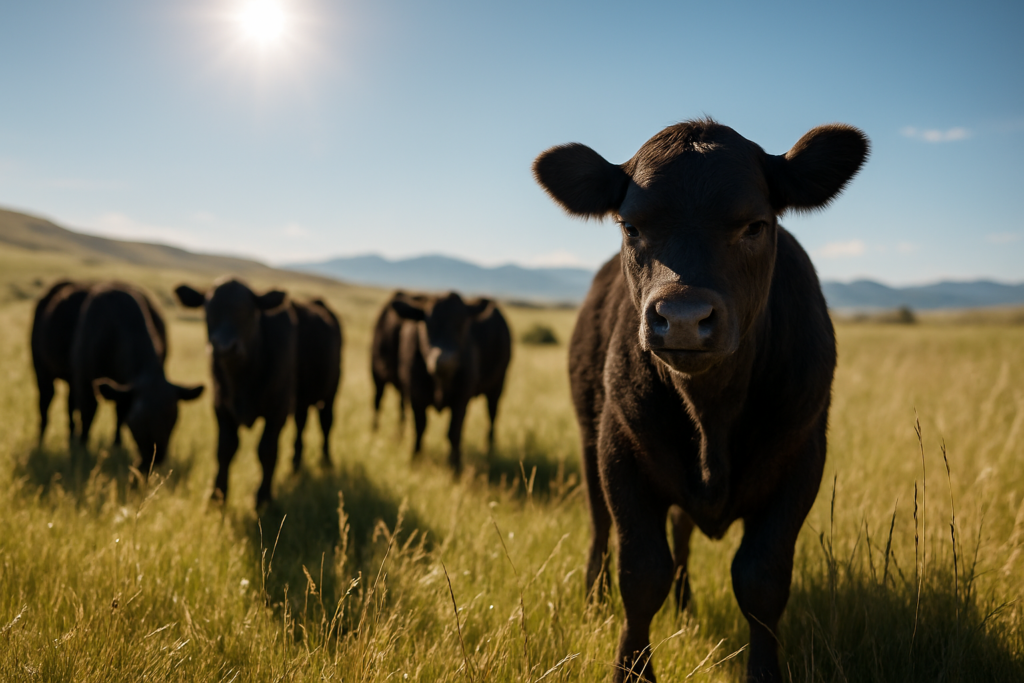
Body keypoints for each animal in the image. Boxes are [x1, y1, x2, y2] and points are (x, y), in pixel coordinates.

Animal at [67, 282, 204, 469]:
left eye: (172, 419)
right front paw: (81, 450)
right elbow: (88, 414)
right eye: (139, 420)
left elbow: (120, 414)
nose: (154, 457)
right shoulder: (84, 381)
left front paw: (116, 447)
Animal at [174, 278, 342, 506]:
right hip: (301, 401)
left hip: (330, 392)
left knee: (326, 423)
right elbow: (224, 449)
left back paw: (326, 463)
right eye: (208, 310)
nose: (224, 348)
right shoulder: (221, 406)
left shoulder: (278, 410)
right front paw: (217, 496)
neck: (242, 381)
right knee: (301, 425)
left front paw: (263, 498)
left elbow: (267, 451)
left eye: (248, 311)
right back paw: (295, 466)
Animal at [388, 292, 511, 472]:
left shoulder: (462, 399)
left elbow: (454, 432)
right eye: (428, 324)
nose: (444, 360)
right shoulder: (415, 396)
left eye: (461, 324)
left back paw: (489, 450)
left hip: (497, 387)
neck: (440, 382)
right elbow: (419, 427)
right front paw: (415, 460)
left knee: (492, 417)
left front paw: (455, 465)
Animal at [532, 118, 868, 683]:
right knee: (601, 527)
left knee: (683, 533)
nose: (684, 317)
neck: (712, 413)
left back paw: (685, 604)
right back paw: (594, 599)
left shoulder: (801, 459)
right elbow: (641, 573)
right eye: (631, 227)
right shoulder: (620, 451)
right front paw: (632, 670)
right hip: (587, 437)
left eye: (755, 225)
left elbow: (762, 580)